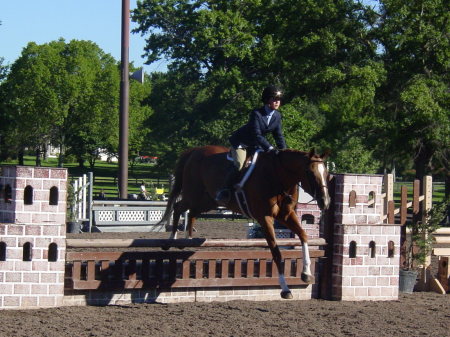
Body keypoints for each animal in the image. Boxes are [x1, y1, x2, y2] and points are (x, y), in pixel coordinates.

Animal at [158, 146, 330, 298]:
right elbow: (276, 253)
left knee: (192, 211)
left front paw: (306, 274)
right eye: (310, 172)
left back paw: (186, 239)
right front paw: (285, 289)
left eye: (327, 174)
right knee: (178, 207)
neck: (278, 176)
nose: (325, 202)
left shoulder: (286, 215)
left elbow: (303, 235)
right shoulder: (265, 218)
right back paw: (171, 240)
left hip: (207, 201)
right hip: (194, 195)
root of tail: (194, 151)